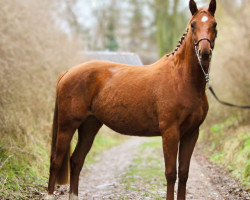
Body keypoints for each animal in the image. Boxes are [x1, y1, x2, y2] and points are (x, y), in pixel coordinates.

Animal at [46, 0, 217, 199]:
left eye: (214, 24)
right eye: (193, 25)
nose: (204, 53)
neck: (182, 79)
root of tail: (68, 72)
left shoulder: (191, 133)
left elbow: (183, 174)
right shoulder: (170, 132)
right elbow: (170, 174)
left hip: (89, 126)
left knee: (76, 160)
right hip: (67, 125)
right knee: (56, 160)